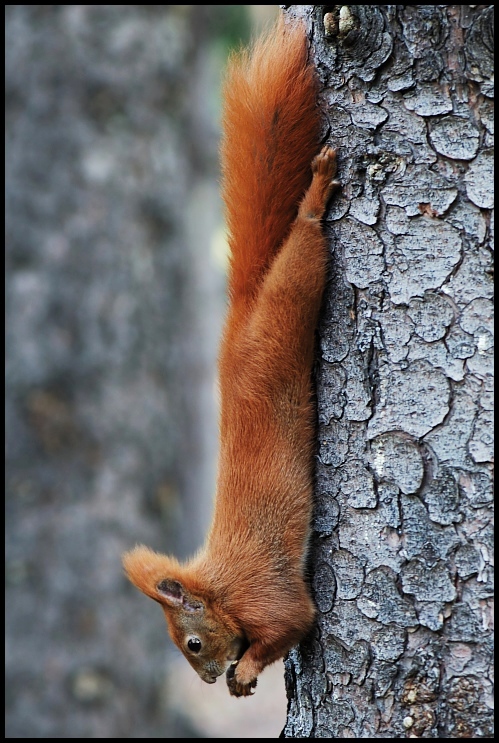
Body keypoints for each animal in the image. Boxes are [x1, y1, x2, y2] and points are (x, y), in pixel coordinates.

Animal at [122, 14, 340, 696]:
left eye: (193, 642)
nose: (206, 681)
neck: (221, 588)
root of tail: (241, 311)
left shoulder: (268, 597)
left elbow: (294, 624)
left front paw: (245, 670)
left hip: (289, 305)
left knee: (302, 255)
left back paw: (315, 199)